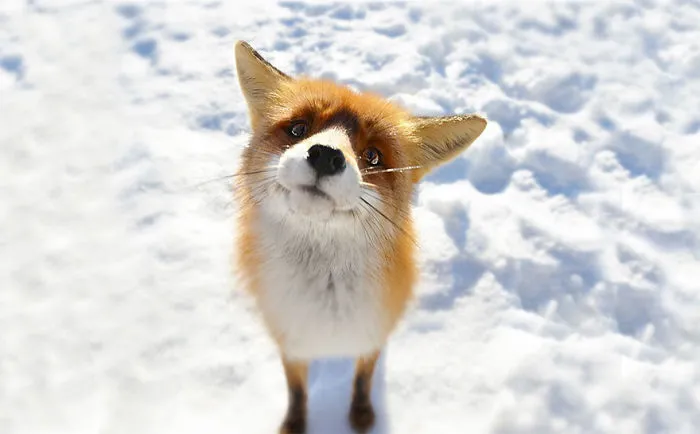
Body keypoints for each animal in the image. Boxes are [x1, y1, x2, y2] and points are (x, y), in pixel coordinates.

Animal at [233, 41, 487, 433]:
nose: (325, 156)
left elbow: (363, 379)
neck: (326, 305)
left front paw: (362, 415)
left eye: (373, 155)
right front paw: (295, 424)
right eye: (298, 129)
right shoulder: (289, 340)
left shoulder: (372, 336)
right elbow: (297, 391)